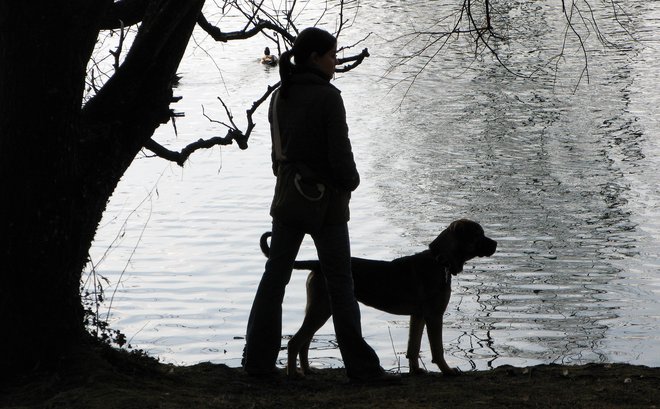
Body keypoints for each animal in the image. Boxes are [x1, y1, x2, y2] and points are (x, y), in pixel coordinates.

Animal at [258, 220, 496, 376]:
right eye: (479, 234)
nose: (495, 244)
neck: (441, 261)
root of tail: (317, 264)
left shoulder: (418, 316)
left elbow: (413, 346)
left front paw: (416, 371)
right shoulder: (434, 316)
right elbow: (437, 348)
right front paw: (447, 370)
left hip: (318, 309)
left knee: (304, 342)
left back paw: (308, 370)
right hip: (321, 309)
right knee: (295, 342)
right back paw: (293, 374)